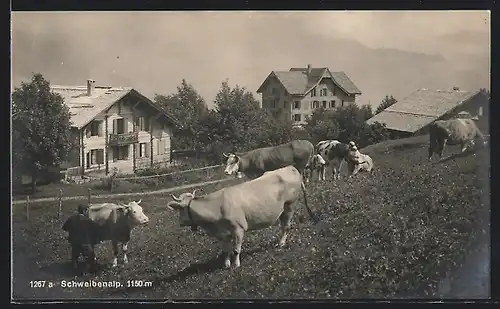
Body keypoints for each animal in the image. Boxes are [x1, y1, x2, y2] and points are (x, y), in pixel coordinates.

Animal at [167, 165, 316, 268]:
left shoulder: (238, 229)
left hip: (290, 205)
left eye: (179, 210)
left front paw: (236, 264)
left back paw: (281, 243)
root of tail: (291, 168)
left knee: (286, 226)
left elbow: (236, 250)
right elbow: (226, 250)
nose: (180, 222)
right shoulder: (222, 234)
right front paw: (226, 264)